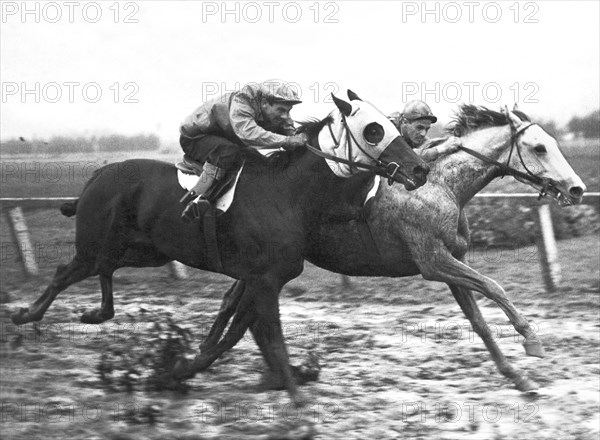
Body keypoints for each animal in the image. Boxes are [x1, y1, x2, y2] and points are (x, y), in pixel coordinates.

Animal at [10, 91, 432, 408]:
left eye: (393, 125)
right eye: (374, 130)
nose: (420, 170)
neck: (288, 195)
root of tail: (98, 173)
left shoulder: (265, 279)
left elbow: (233, 335)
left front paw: (178, 370)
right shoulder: (263, 280)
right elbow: (270, 337)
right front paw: (296, 399)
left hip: (148, 251)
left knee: (101, 270)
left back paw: (92, 313)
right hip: (98, 243)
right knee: (68, 271)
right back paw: (27, 315)